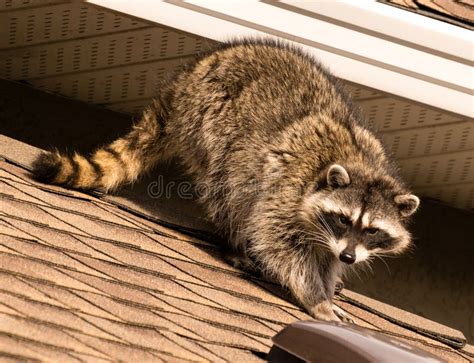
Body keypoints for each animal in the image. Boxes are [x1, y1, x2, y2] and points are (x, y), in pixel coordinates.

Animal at [32, 39, 418, 322]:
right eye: (343, 219)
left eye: (373, 230)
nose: (350, 257)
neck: (361, 164)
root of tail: (192, 74)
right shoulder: (287, 190)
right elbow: (277, 241)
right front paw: (315, 298)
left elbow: (325, 256)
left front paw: (331, 278)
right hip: (212, 119)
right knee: (232, 187)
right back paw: (235, 243)